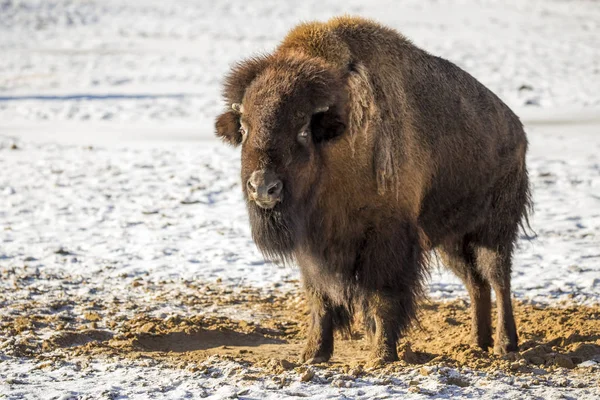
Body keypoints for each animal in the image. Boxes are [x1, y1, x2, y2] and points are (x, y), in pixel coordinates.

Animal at [214, 16, 528, 366]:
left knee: (498, 279)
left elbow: (382, 298)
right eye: (244, 128)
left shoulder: (386, 239)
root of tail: (516, 128)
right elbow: (320, 300)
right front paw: (313, 355)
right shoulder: (313, 248)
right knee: (476, 284)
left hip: (493, 231)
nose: (263, 187)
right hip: (452, 241)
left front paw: (382, 355)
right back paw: (477, 343)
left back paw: (504, 345)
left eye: (303, 130)